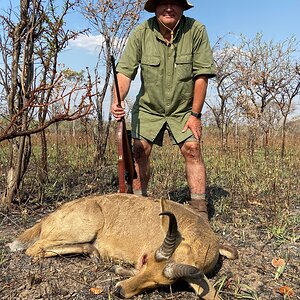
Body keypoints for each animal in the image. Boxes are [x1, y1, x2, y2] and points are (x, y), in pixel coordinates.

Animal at [8, 193, 237, 298]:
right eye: (145, 260)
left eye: (161, 284)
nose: (119, 290)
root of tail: (48, 218)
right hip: (86, 227)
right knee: (34, 249)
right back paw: (93, 252)